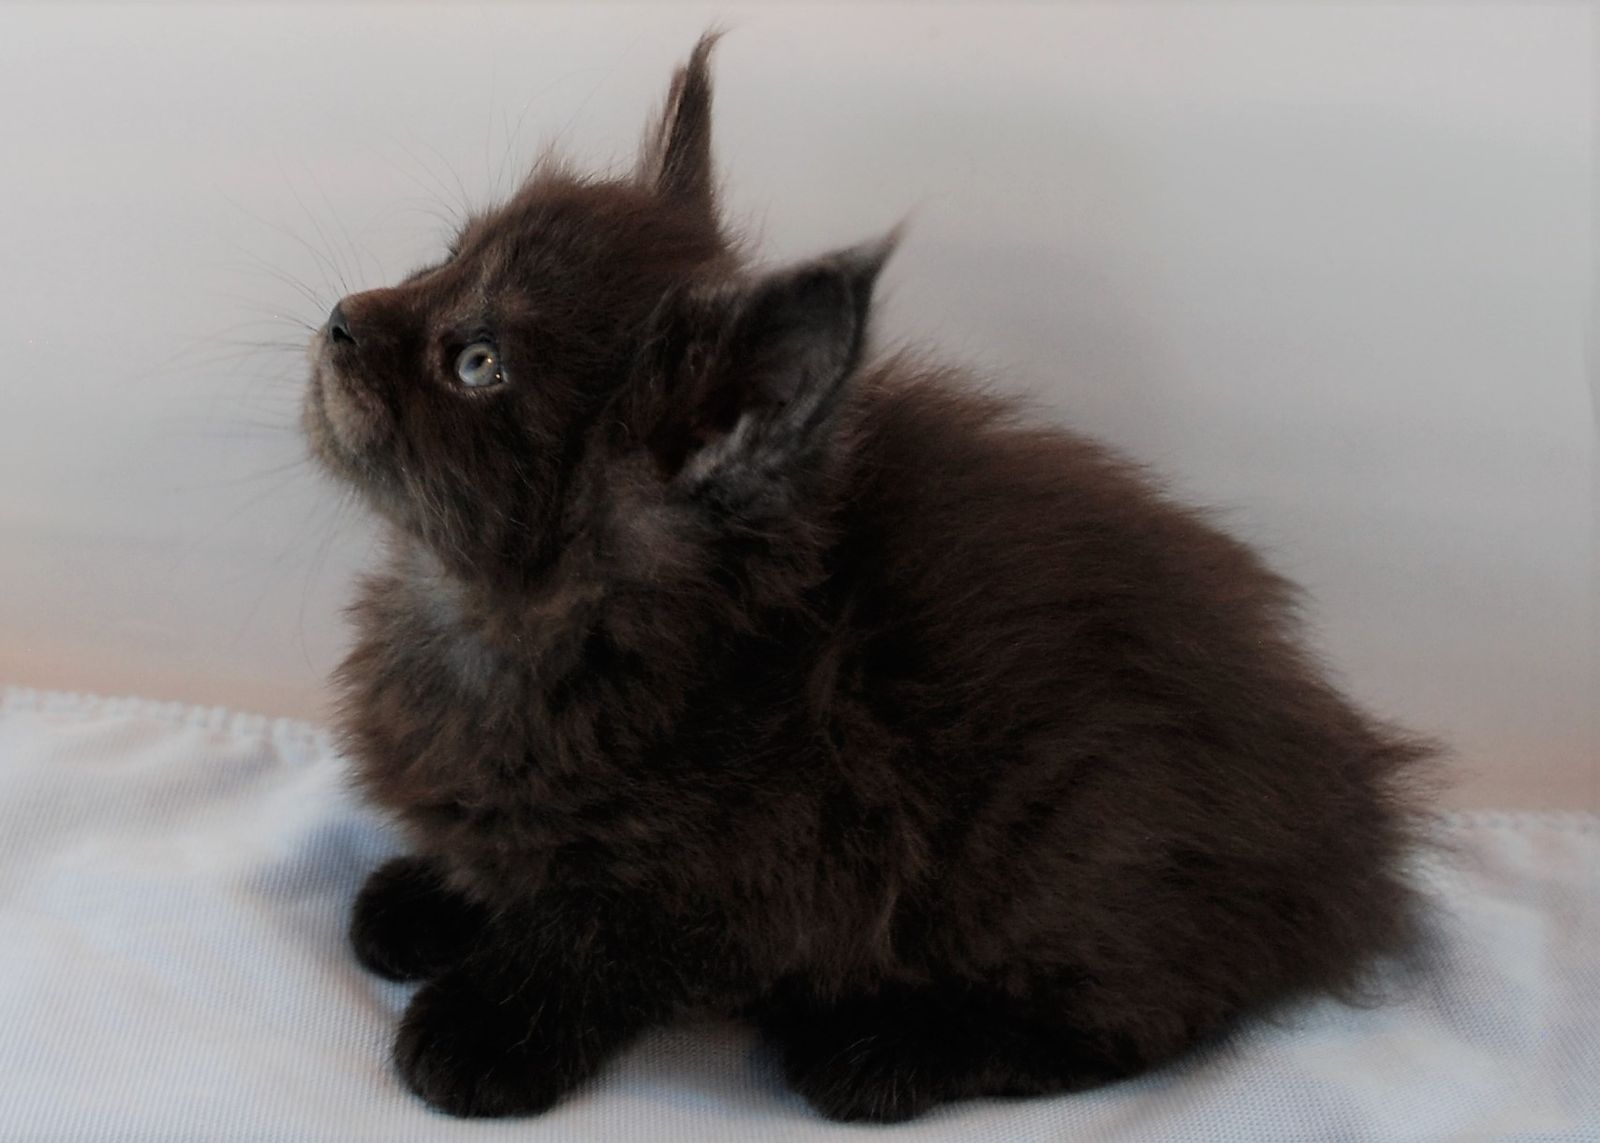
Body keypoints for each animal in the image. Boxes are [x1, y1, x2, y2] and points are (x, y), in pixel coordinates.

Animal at [303, 33, 1436, 1124]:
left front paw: (487, 1027)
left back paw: (882, 1048)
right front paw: (435, 895)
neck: (503, 616)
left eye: (477, 363)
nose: (342, 317)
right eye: (441, 261)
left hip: (1068, 856)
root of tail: (1355, 836)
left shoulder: (734, 860)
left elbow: (591, 946)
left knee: (1137, 1021)